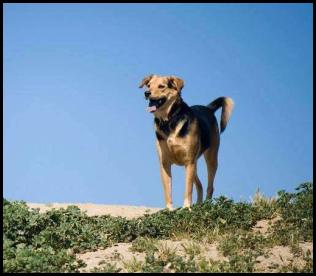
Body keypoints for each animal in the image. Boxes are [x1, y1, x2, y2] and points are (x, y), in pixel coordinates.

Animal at [139, 73, 233, 209]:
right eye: (149, 85)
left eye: (161, 86)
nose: (147, 93)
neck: (169, 120)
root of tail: (208, 108)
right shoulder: (164, 163)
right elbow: (167, 190)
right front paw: (169, 209)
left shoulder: (189, 161)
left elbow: (188, 189)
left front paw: (186, 207)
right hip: (193, 165)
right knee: (199, 185)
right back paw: (198, 206)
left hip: (210, 159)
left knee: (209, 186)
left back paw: (206, 205)